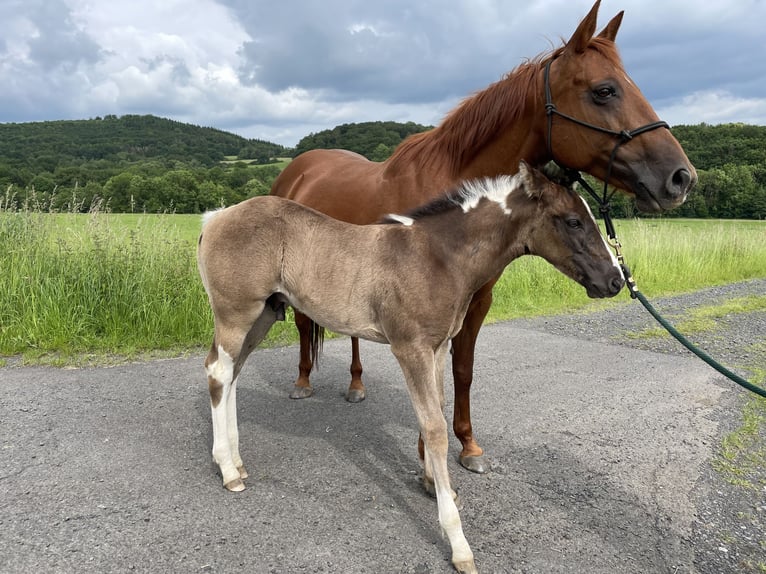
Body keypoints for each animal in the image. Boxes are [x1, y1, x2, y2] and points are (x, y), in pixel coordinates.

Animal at [196, 163, 624, 574]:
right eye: (573, 221)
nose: (615, 280)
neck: (439, 257)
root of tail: (216, 217)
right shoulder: (411, 349)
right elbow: (434, 428)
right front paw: (458, 543)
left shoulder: (436, 348)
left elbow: (435, 412)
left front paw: (434, 483)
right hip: (237, 314)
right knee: (218, 372)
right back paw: (228, 471)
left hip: (264, 315)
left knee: (231, 375)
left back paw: (236, 462)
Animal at [270, 1, 696, 476]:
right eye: (605, 91)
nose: (681, 178)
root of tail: (300, 168)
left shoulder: (478, 299)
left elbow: (463, 370)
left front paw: (468, 445)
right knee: (304, 323)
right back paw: (303, 380)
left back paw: (357, 384)